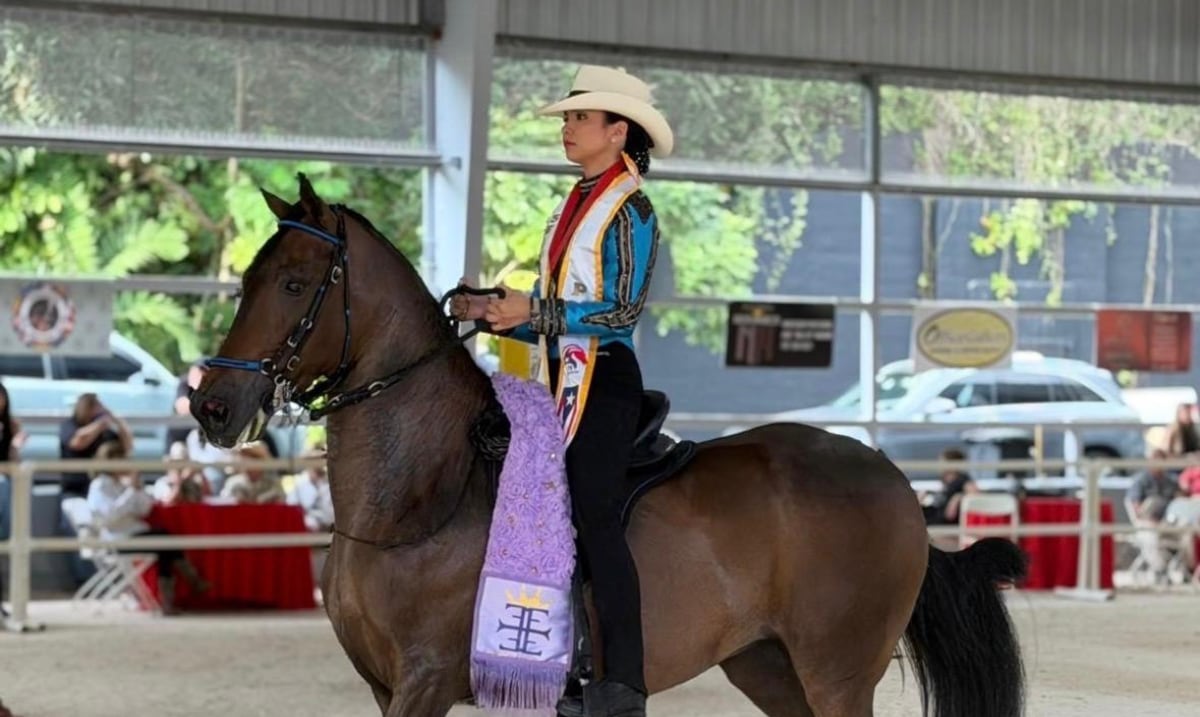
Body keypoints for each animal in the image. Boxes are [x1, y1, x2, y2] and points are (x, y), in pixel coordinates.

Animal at [191, 174, 1028, 717]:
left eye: (295, 283)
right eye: (248, 279)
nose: (212, 404)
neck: (421, 494)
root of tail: (894, 478)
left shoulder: (425, 680)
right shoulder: (387, 683)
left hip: (838, 672)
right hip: (768, 664)